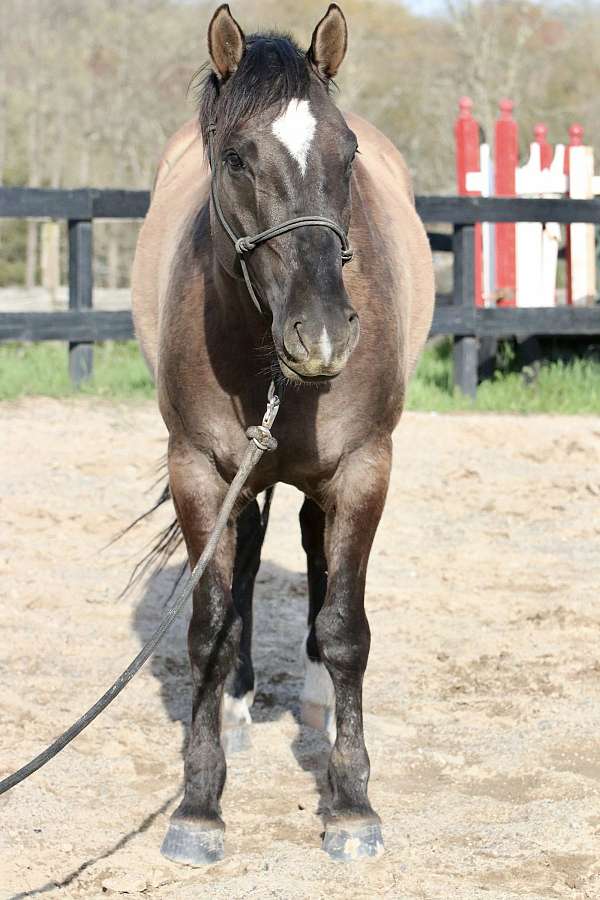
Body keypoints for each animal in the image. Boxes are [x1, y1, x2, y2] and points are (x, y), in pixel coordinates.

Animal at [132, 1, 432, 864]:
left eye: (347, 151)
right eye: (236, 157)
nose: (323, 333)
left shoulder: (364, 469)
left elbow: (346, 629)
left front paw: (351, 801)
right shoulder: (200, 472)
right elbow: (207, 627)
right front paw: (199, 804)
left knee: (313, 555)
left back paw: (319, 703)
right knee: (246, 562)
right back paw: (236, 707)